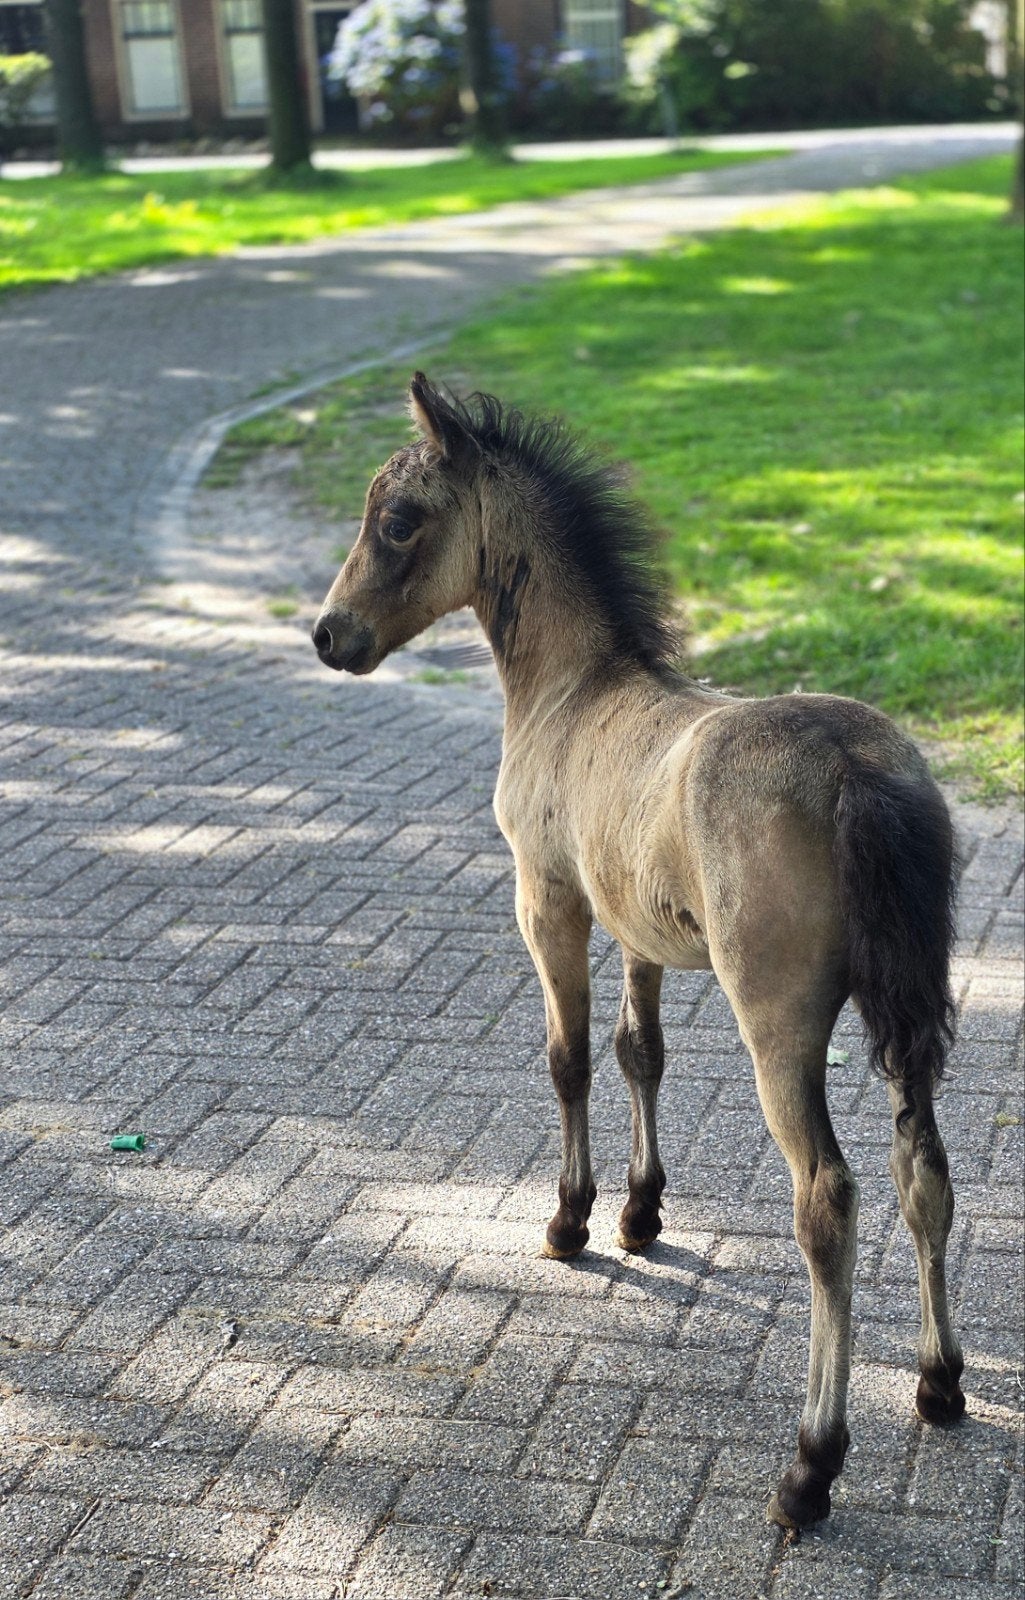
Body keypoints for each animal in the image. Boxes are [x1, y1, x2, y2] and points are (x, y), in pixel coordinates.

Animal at [311, 373, 965, 1529]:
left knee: (827, 1198)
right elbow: (638, 1053)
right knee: (919, 1166)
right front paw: (639, 1209)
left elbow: (569, 1058)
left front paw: (570, 1220)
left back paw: (810, 1465)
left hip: (779, 1018)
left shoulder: (549, 902)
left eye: (397, 520)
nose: (327, 634)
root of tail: (856, 769)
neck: (572, 690)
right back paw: (937, 1383)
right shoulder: (636, 927)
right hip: (907, 1004)